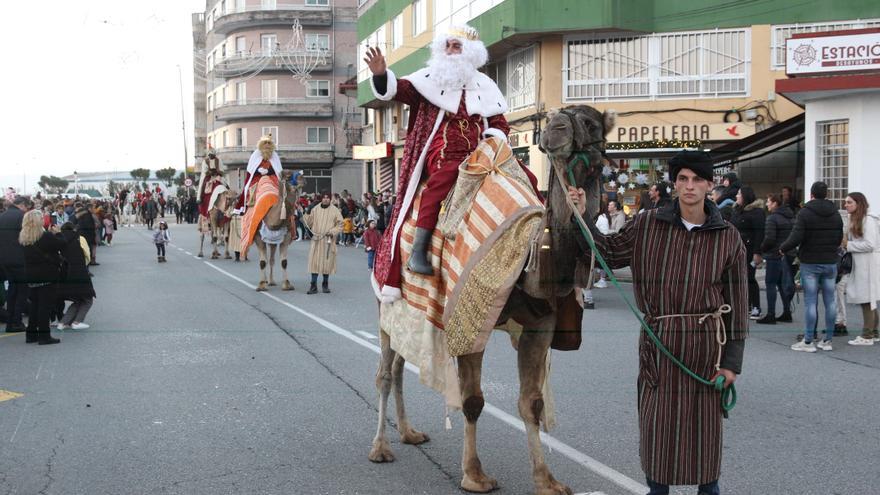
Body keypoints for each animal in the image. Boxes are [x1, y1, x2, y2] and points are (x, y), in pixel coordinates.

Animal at [368, 105, 616, 495]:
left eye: (591, 123)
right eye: (559, 118)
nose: (555, 128)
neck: (529, 256)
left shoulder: (540, 325)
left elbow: (532, 402)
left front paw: (547, 480)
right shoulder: (471, 323)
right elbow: (472, 400)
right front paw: (475, 475)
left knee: (398, 365)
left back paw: (409, 433)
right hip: (386, 304)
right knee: (384, 373)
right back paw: (380, 448)